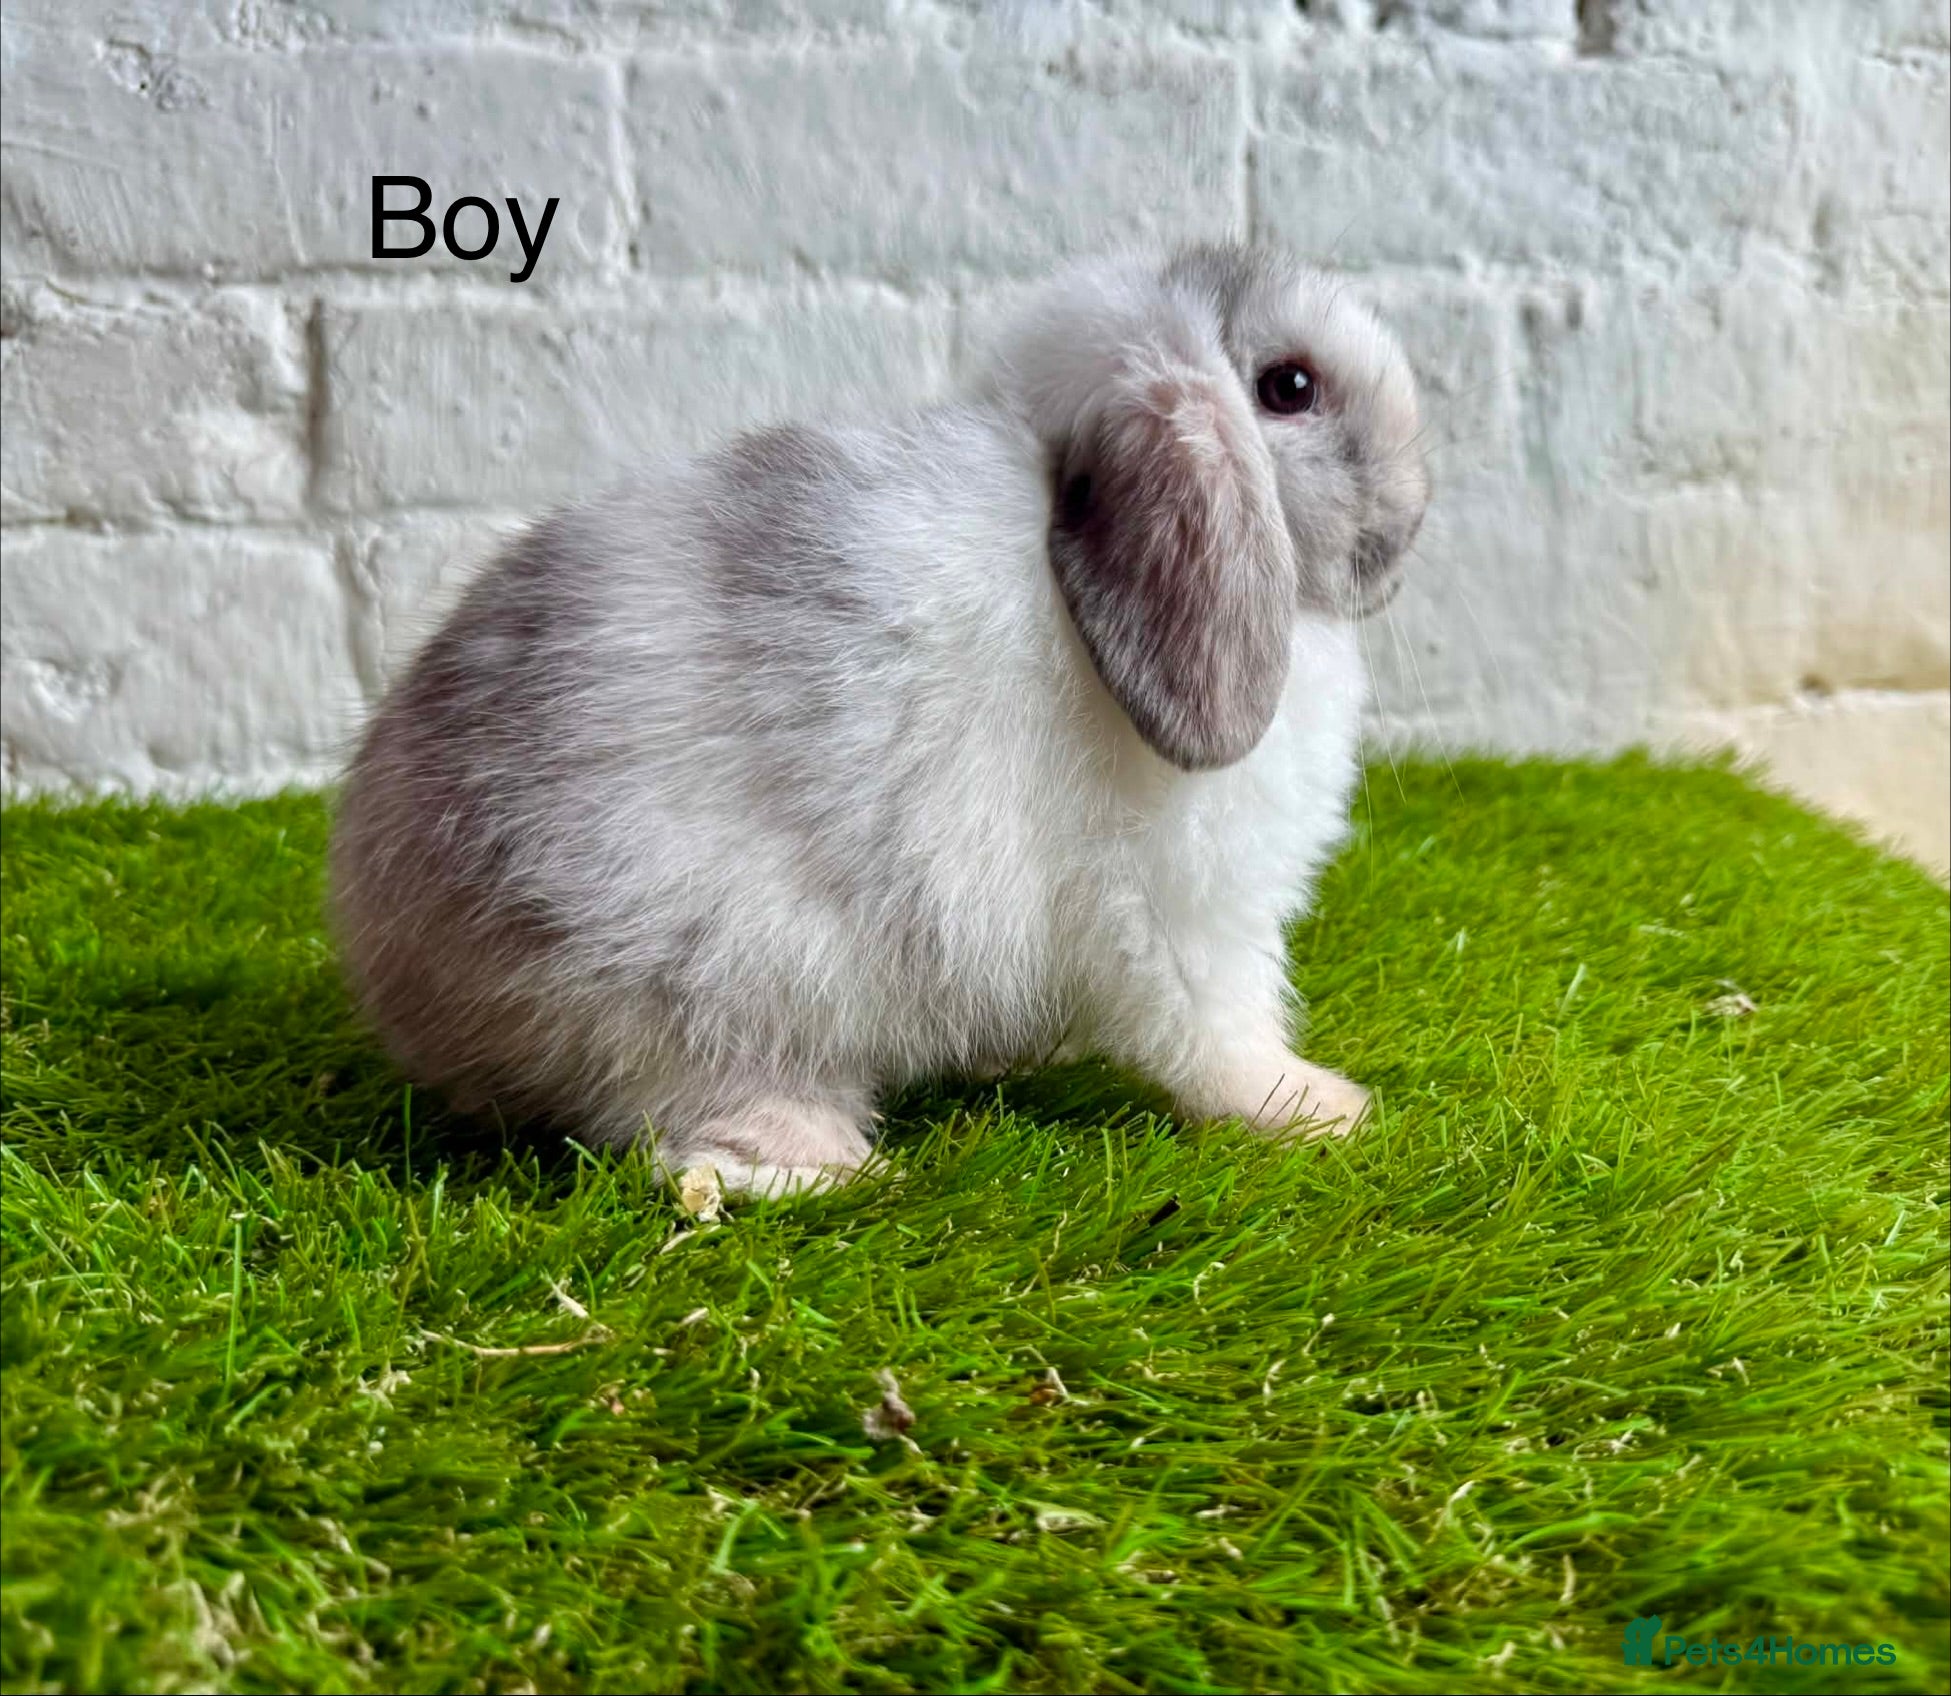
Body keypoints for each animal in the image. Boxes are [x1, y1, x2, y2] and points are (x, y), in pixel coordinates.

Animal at [329, 240, 1429, 1198]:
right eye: (1289, 387)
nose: (1409, 521)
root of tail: (396, 963)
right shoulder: (1185, 913)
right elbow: (1217, 1029)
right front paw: (1320, 1108)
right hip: (696, 971)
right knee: (673, 1120)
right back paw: (825, 1157)